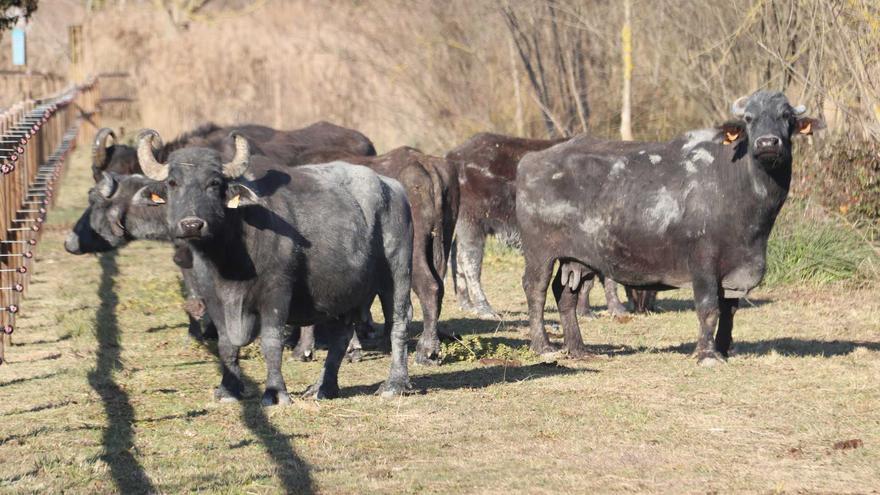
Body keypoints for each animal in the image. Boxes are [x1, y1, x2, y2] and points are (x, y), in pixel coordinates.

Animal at [135, 132, 416, 404]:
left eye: (214, 183)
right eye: (173, 183)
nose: (192, 225)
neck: (230, 260)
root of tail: (393, 188)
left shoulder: (276, 293)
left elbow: (271, 343)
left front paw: (275, 392)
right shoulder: (213, 298)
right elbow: (226, 344)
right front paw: (227, 389)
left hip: (397, 272)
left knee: (398, 321)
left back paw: (394, 384)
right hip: (343, 291)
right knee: (341, 335)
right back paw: (323, 387)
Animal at [446, 131, 648, 318]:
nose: (644, 308)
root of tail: (454, 156)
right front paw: (613, 309)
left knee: (456, 256)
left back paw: (466, 303)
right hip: (472, 223)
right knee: (469, 261)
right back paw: (484, 308)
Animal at [516, 92, 824, 364]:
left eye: (786, 116)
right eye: (750, 118)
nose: (767, 142)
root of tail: (530, 161)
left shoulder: (736, 267)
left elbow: (729, 310)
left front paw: (723, 349)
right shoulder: (703, 262)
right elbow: (708, 307)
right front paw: (707, 354)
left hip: (578, 259)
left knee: (565, 295)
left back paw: (579, 349)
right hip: (540, 253)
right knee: (535, 290)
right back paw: (543, 346)